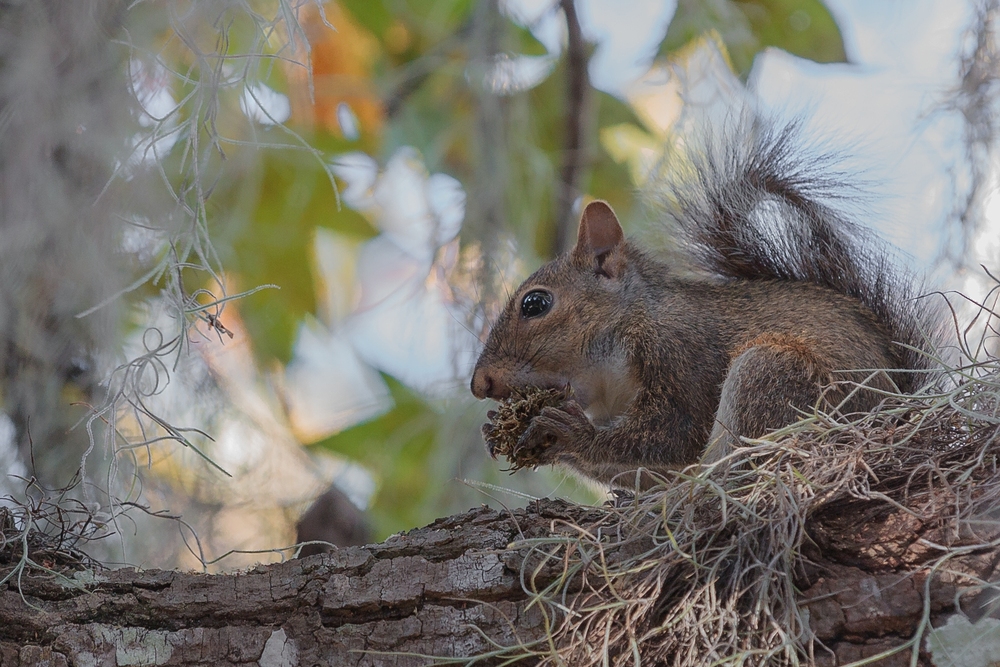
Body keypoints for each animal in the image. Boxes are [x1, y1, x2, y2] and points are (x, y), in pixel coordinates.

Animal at [468, 117, 936, 488]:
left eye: (535, 304)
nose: (480, 385)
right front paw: (505, 431)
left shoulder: (683, 351)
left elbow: (673, 434)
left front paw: (571, 434)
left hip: (774, 376)